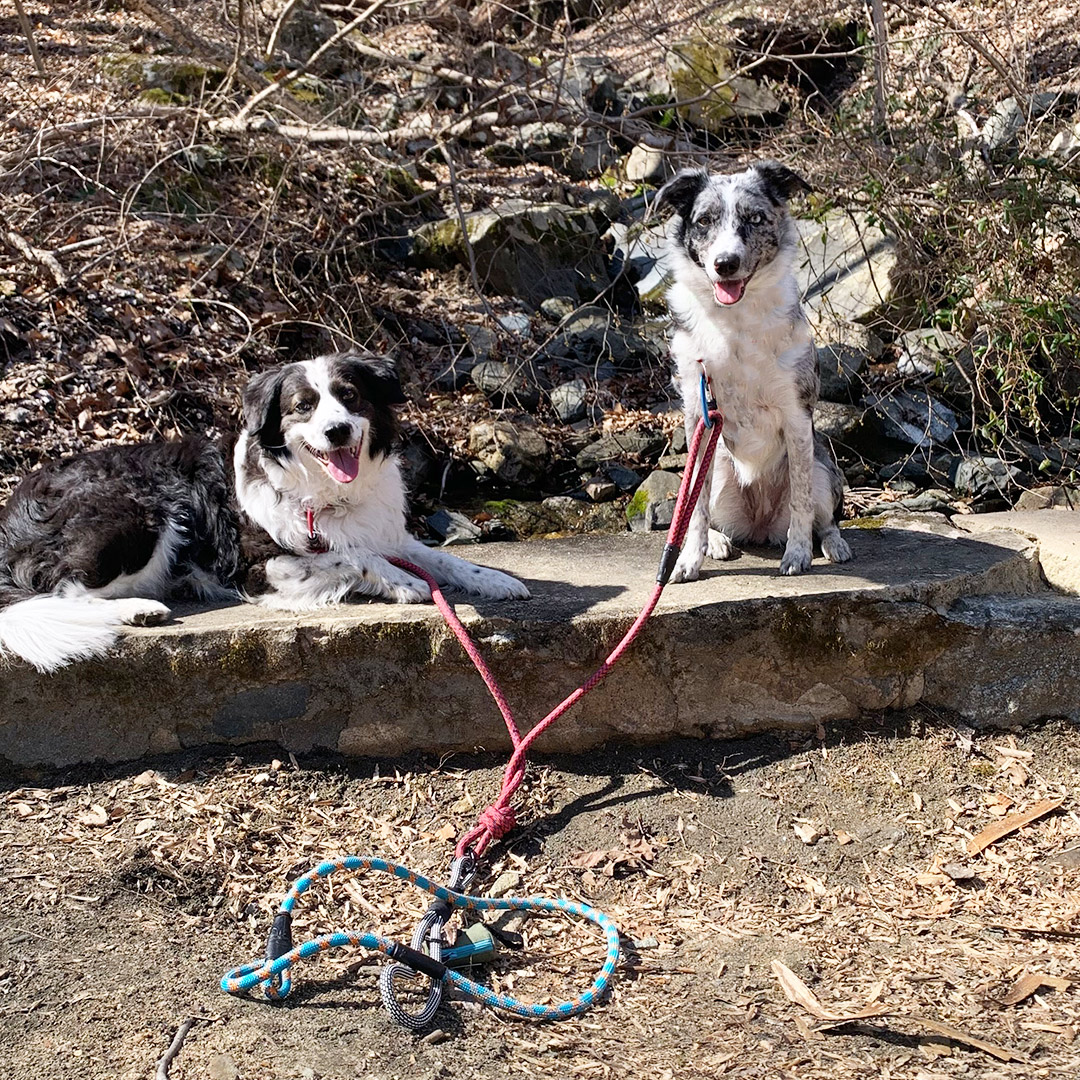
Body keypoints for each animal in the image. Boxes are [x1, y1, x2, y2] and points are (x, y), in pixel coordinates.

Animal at [0, 349, 527, 669]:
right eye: (302, 406)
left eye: (350, 397)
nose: (337, 430)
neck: (323, 492)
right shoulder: (258, 566)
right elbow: (352, 556)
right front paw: (402, 582)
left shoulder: (386, 532)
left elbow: (442, 557)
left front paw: (495, 580)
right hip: (139, 513)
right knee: (65, 592)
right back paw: (138, 609)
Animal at [652, 159, 855, 578]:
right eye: (704, 220)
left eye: (756, 218)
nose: (724, 264)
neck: (735, 321)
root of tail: (760, 527)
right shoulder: (699, 416)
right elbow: (694, 509)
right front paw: (688, 559)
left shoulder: (796, 417)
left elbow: (801, 501)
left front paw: (798, 554)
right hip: (719, 471)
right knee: (705, 509)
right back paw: (716, 542)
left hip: (822, 468)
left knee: (824, 519)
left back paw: (833, 544)